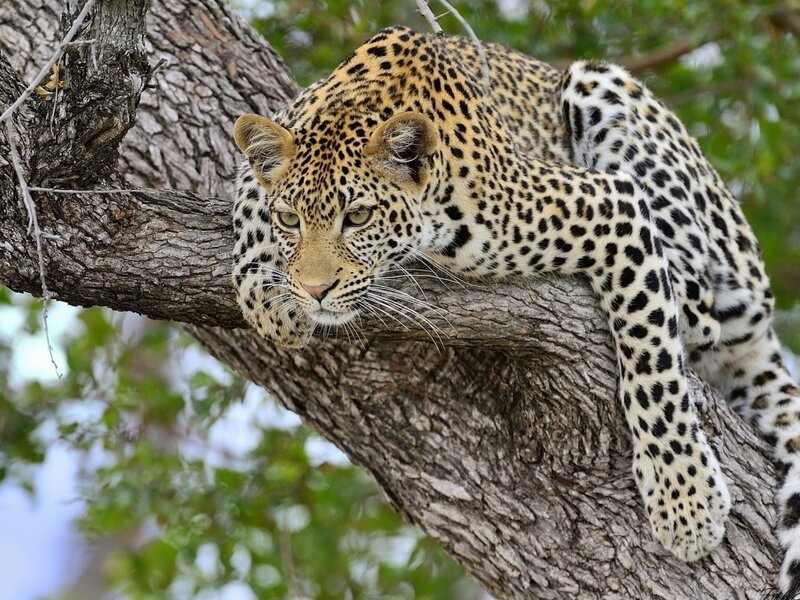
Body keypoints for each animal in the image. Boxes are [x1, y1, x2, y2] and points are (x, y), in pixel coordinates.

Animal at [231, 26, 800, 598]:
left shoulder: (611, 205)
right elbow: (247, 196)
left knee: (700, 309)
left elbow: (653, 365)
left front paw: (685, 498)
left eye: (359, 216)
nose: (314, 290)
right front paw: (267, 293)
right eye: (289, 219)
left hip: (606, 92)